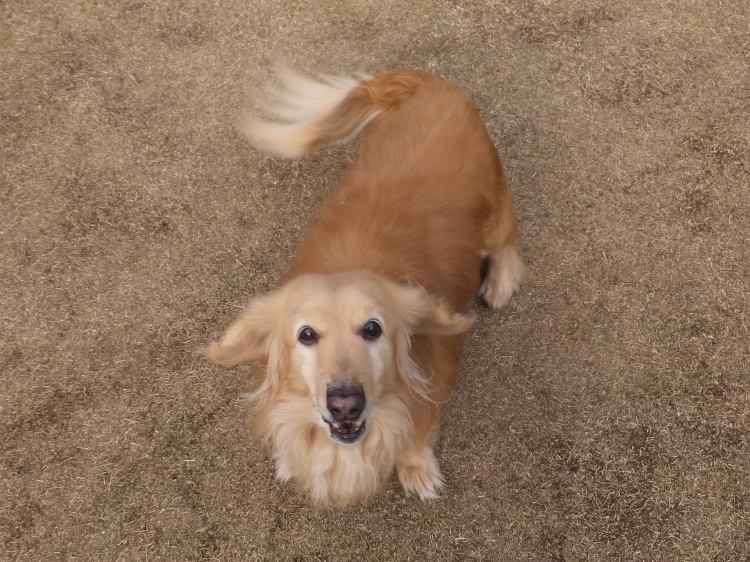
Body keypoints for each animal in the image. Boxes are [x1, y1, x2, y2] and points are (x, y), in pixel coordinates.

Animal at [205, 67, 522, 507]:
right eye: (306, 335)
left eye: (373, 328)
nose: (345, 406)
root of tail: (431, 84)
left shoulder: (428, 393)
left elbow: (415, 438)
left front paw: (417, 469)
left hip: (493, 210)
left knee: (508, 239)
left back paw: (501, 281)